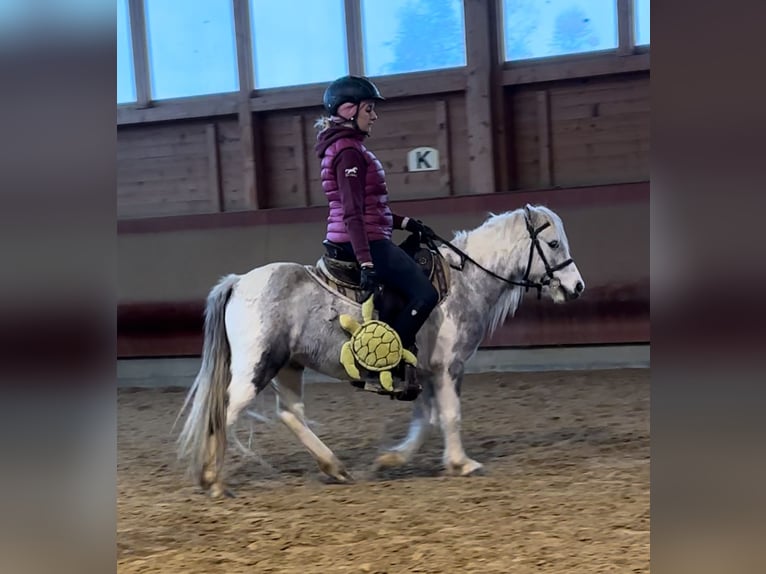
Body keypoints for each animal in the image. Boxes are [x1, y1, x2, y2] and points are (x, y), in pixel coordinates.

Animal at [178, 205, 588, 498]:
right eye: (553, 244)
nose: (577, 287)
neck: (463, 280)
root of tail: (238, 282)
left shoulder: (426, 373)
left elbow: (427, 420)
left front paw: (392, 459)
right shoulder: (448, 367)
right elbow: (450, 416)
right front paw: (462, 463)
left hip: (290, 366)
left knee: (291, 414)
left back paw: (335, 467)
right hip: (258, 366)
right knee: (225, 411)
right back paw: (213, 480)